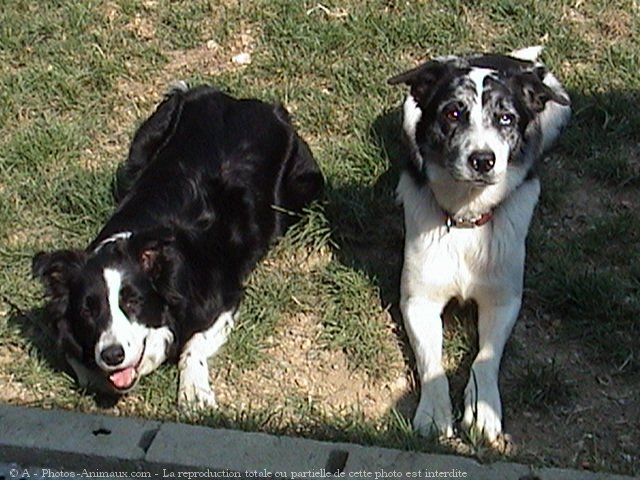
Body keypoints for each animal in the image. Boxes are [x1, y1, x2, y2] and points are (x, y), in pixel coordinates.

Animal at [32, 84, 322, 406]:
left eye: (133, 302)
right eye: (87, 311)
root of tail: (243, 101)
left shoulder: (224, 297)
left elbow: (194, 344)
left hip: (305, 187)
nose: (112, 355)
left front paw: (194, 391)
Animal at [388, 48, 572, 442]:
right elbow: (431, 361)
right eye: (452, 113)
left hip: (557, 113)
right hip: (408, 114)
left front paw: (482, 408)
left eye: (505, 118)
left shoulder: (504, 300)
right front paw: (434, 411)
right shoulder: (418, 300)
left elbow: (486, 356)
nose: (483, 160)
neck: (466, 219)